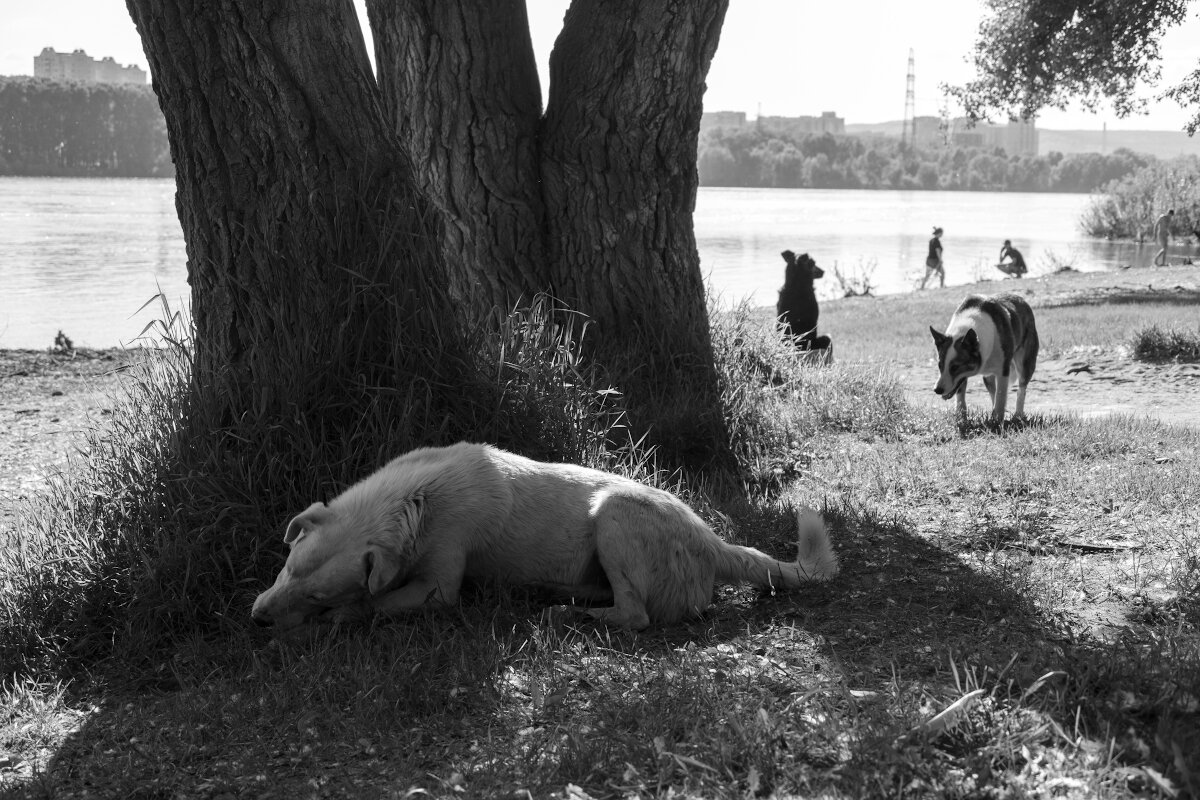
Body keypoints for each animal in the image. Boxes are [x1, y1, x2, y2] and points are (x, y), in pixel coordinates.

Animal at [248, 441, 840, 633]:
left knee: (636, 616)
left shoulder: (439, 588)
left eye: (318, 592)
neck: (413, 500)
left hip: (615, 515)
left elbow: (375, 603)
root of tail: (712, 539)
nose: (256, 618)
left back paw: (568, 615)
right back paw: (558, 596)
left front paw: (337, 617)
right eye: (286, 566)